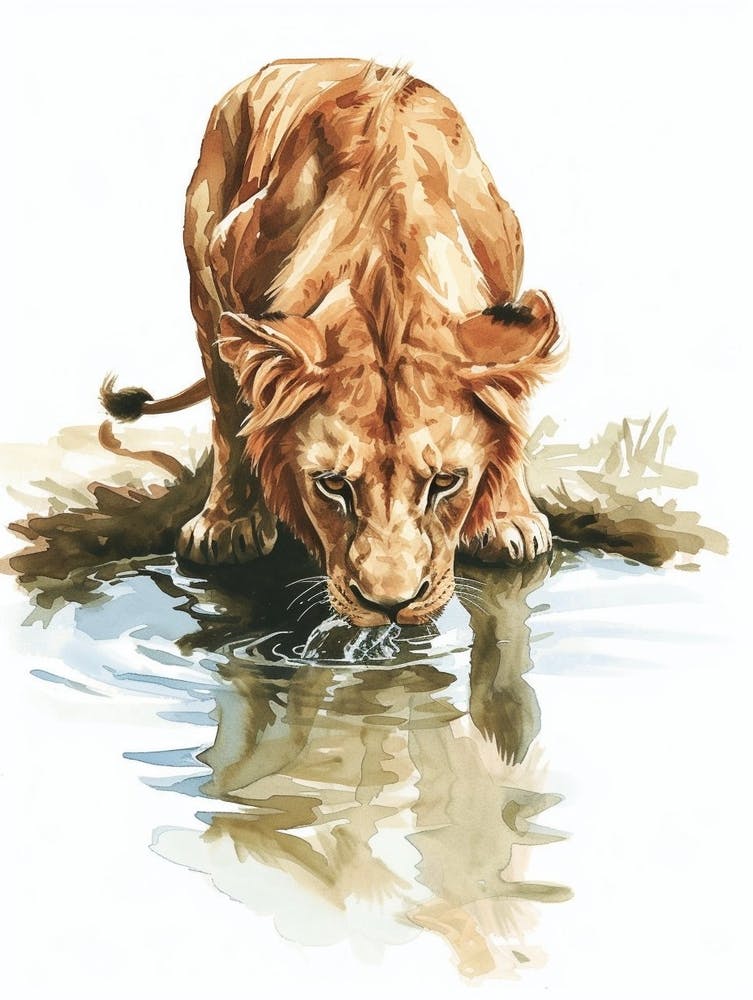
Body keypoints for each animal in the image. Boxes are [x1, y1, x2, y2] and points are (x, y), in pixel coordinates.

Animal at [101, 58, 562, 627]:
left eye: (446, 482)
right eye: (333, 485)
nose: (391, 606)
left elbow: (512, 401)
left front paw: (508, 519)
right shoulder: (221, 269)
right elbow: (230, 409)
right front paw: (228, 525)